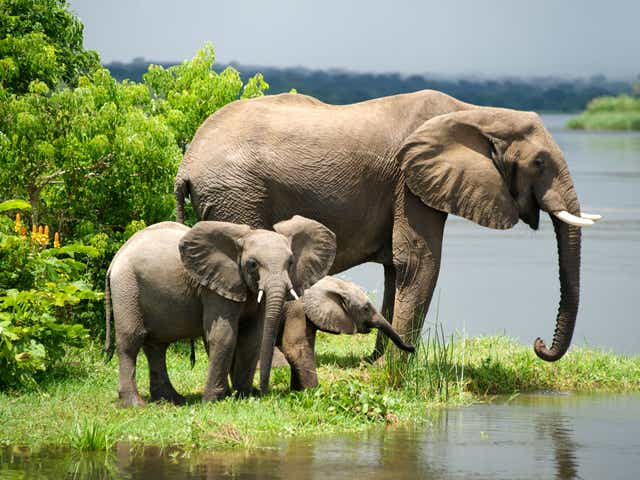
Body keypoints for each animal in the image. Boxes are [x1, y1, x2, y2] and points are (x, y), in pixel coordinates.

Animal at [103, 215, 336, 407]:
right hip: (126, 286)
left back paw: (171, 400)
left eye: (290, 262)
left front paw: (243, 396)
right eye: (252, 264)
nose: (264, 392)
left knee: (156, 346)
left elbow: (252, 337)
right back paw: (135, 404)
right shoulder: (214, 287)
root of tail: (115, 258)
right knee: (132, 340)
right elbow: (224, 335)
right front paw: (213, 401)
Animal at [174, 89, 602, 363]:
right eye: (540, 163)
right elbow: (420, 261)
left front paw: (379, 361)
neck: (475, 112)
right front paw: (398, 369)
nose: (539, 345)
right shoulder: (410, 182)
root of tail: (186, 165)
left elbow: (399, 268)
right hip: (238, 195)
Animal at [277, 276, 415, 390]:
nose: (413, 348)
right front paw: (313, 392)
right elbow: (295, 350)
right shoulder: (297, 315)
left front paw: (297, 390)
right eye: (366, 309)